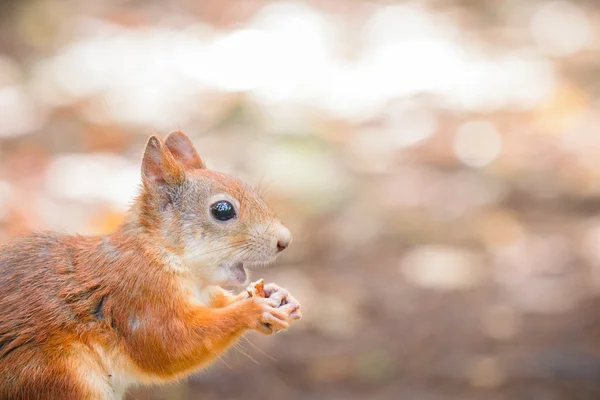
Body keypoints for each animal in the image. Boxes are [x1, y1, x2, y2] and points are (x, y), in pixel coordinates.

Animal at [0, 132, 300, 400]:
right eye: (223, 210)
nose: (284, 241)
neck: (162, 253)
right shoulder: (139, 296)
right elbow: (170, 345)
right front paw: (252, 310)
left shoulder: (206, 294)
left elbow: (221, 303)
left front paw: (280, 295)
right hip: (58, 375)